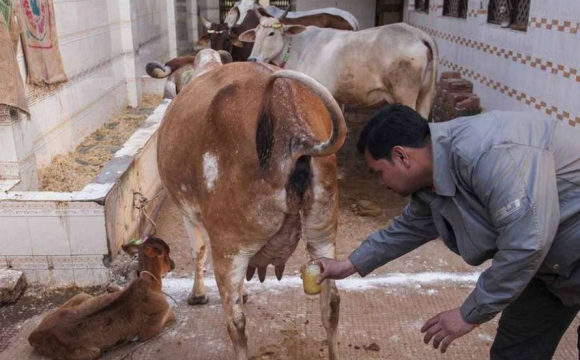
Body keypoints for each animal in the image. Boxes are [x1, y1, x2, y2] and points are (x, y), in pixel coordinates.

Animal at [28, 238, 176, 358]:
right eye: (167, 253)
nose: (173, 264)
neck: (152, 284)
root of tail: (33, 336)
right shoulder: (151, 328)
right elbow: (170, 316)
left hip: (82, 296)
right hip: (92, 353)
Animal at [156, 63, 346, 358]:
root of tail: (294, 130)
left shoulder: (188, 213)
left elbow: (197, 250)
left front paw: (198, 295)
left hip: (229, 246)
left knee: (236, 322)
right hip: (323, 232)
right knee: (332, 303)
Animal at [238, 17, 438, 117]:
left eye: (271, 33)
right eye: (256, 34)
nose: (252, 58)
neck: (296, 47)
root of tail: (416, 33)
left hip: (405, 93)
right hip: (425, 94)